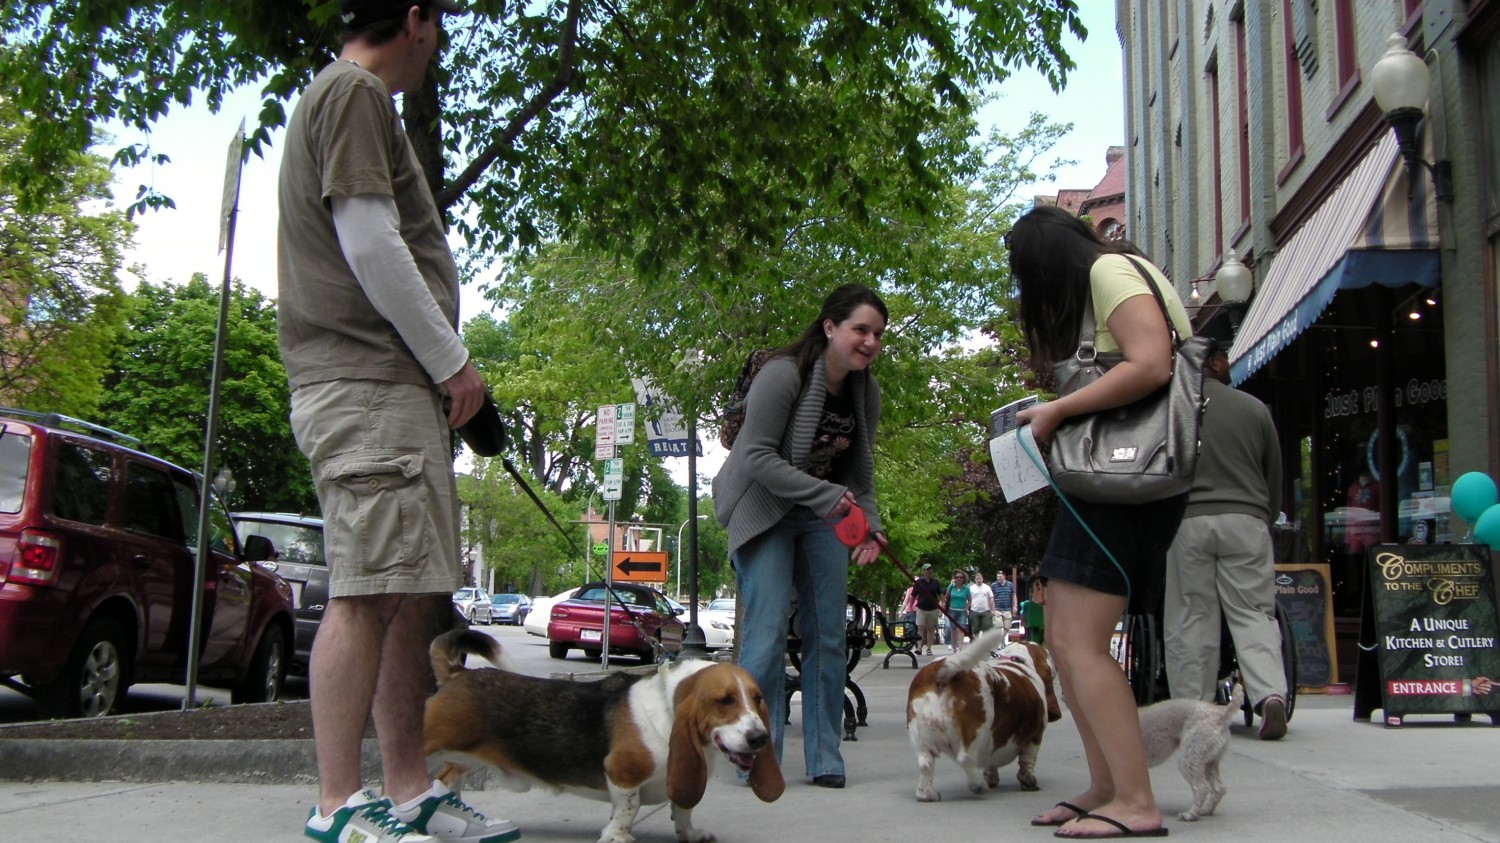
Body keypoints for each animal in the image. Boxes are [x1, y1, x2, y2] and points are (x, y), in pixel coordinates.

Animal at [1134, 678, 1242, 816]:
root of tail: (1221, 716)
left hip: (1191, 756)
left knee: (1202, 788)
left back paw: (1190, 814)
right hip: (1209, 761)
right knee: (1219, 788)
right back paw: (1206, 810)